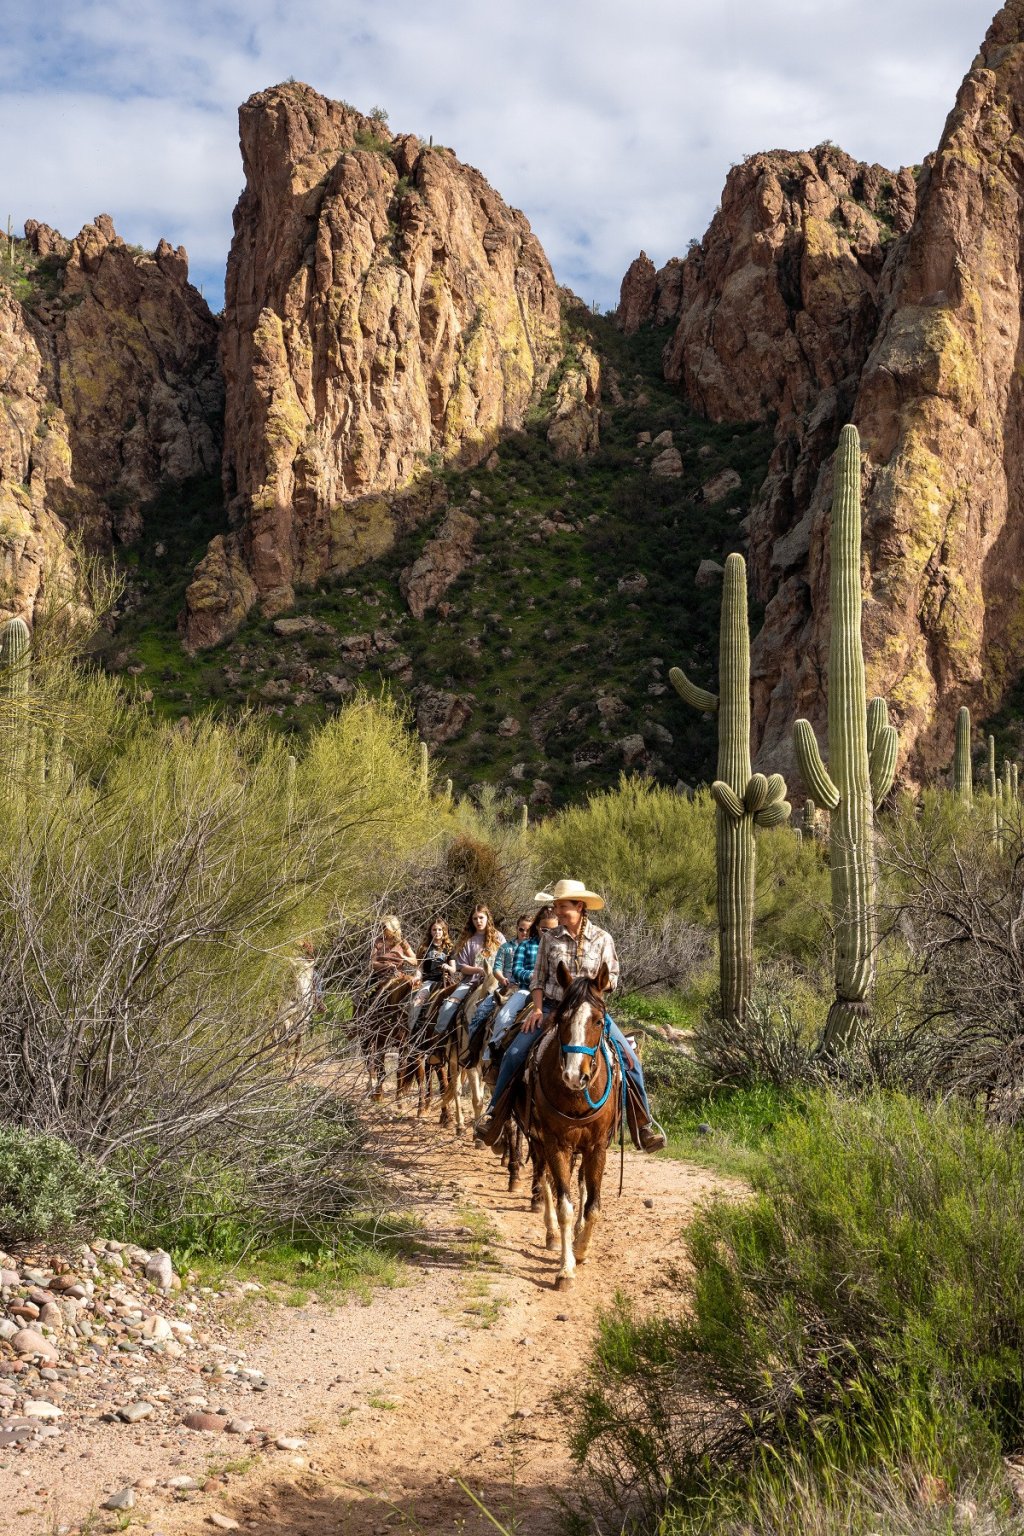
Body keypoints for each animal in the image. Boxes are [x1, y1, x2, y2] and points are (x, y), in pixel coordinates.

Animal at [525, 964, 620, 1290]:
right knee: (546, 1182)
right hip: (539, 1143)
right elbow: (564, 1203)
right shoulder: (556, 1144)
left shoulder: (597, 1147)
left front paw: (581, 1249)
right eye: (562, 1019)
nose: (574, 1076)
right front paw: (566, 1268)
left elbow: (593, 1205)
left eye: (598, 1021)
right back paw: (552, 1233)